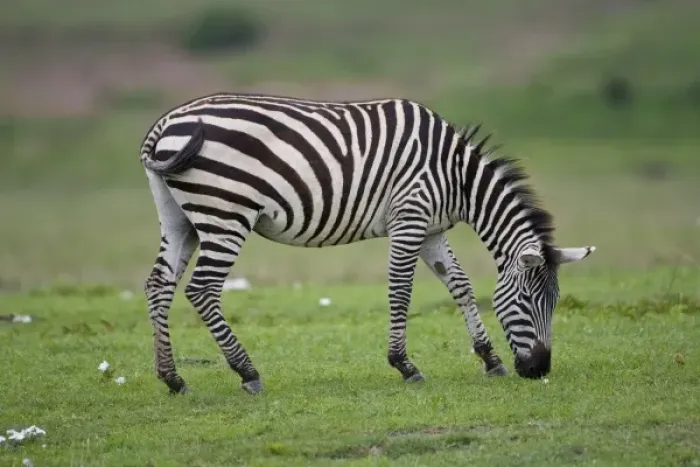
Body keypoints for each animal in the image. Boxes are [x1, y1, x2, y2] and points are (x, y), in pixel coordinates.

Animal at [139, 92, 595, 395]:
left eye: (555, 303)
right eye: (527, 302)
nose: (539, 370)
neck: (457, 177)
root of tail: (166, 122)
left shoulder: (432, 229)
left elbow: (460, 285)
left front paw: (489, 358)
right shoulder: (410, 218)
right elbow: (401, 292)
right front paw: (405, 365)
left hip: (181, 218)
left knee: (159, 284)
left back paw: (173, 378)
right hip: (225, 213)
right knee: (202, 289)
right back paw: (247, 372)